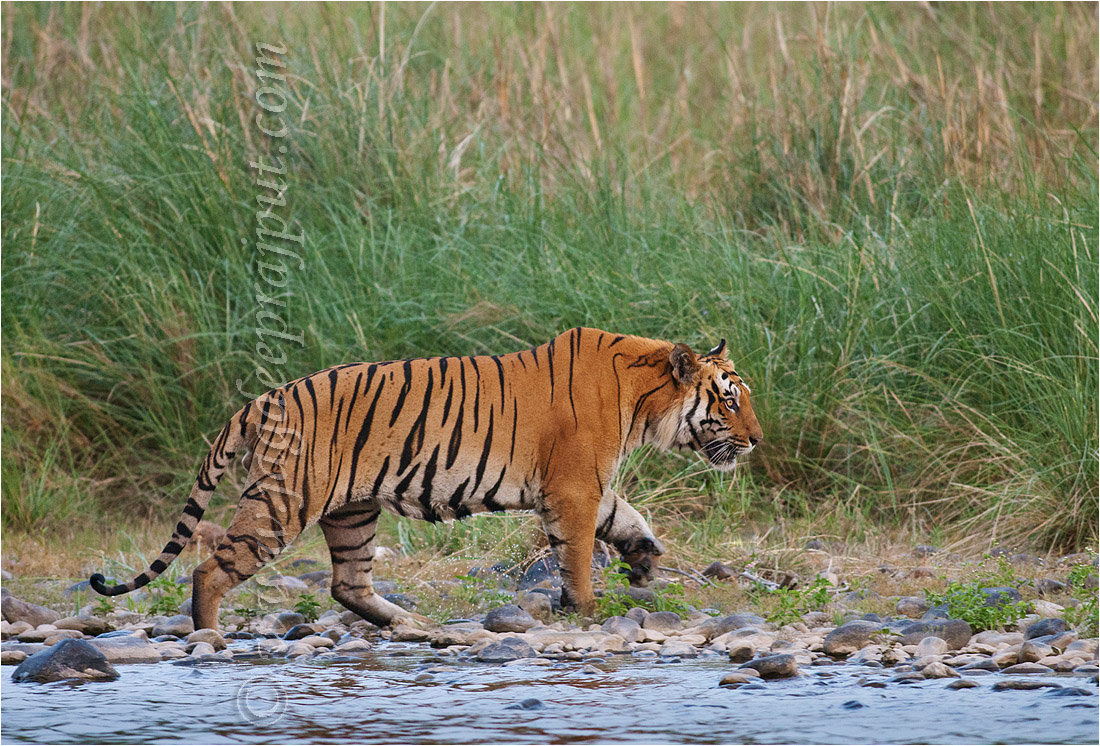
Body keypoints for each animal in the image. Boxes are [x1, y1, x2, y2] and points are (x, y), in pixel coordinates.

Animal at [91, 328, 763, 629]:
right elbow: (576, 554)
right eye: (730, 401)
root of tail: (263, 398)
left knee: (347, 584)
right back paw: (210, 640)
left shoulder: (585, 485)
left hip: (352, 512)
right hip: (284, 503)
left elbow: (626, 517)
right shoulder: (574, 487)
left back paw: (407, 624)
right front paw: (588, 610)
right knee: (210, 569)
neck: (645, 399)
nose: (757, 440)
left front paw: (644, 560)